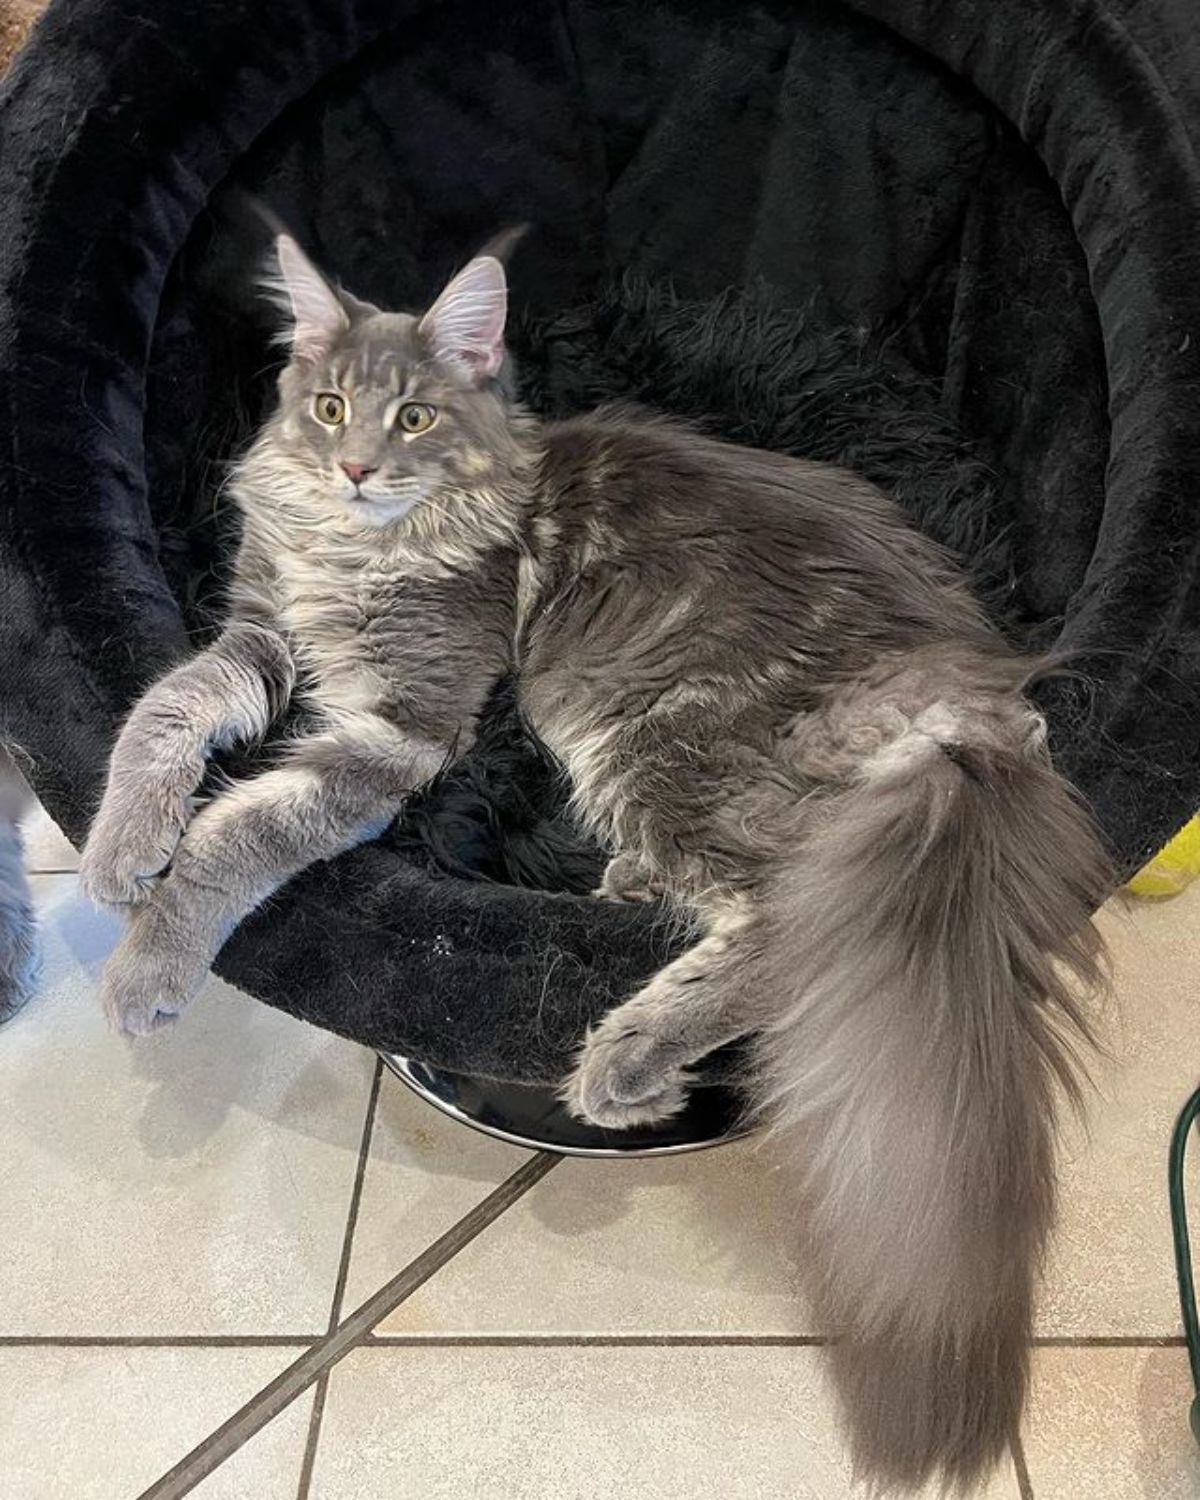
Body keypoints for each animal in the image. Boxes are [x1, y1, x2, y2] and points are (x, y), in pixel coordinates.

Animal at [82, 234, 1116, 1488]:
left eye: (415, 417)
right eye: (329, 410)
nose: (358, 469)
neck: (359, 545)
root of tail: (974, 699)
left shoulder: (405, 723)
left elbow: (242, 831)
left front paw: (148, 966)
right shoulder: (260, 632)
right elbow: (164, 706)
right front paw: (118, 849)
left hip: (647, 734)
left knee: (782, 922)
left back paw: (624, 1062)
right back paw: (629, 894)